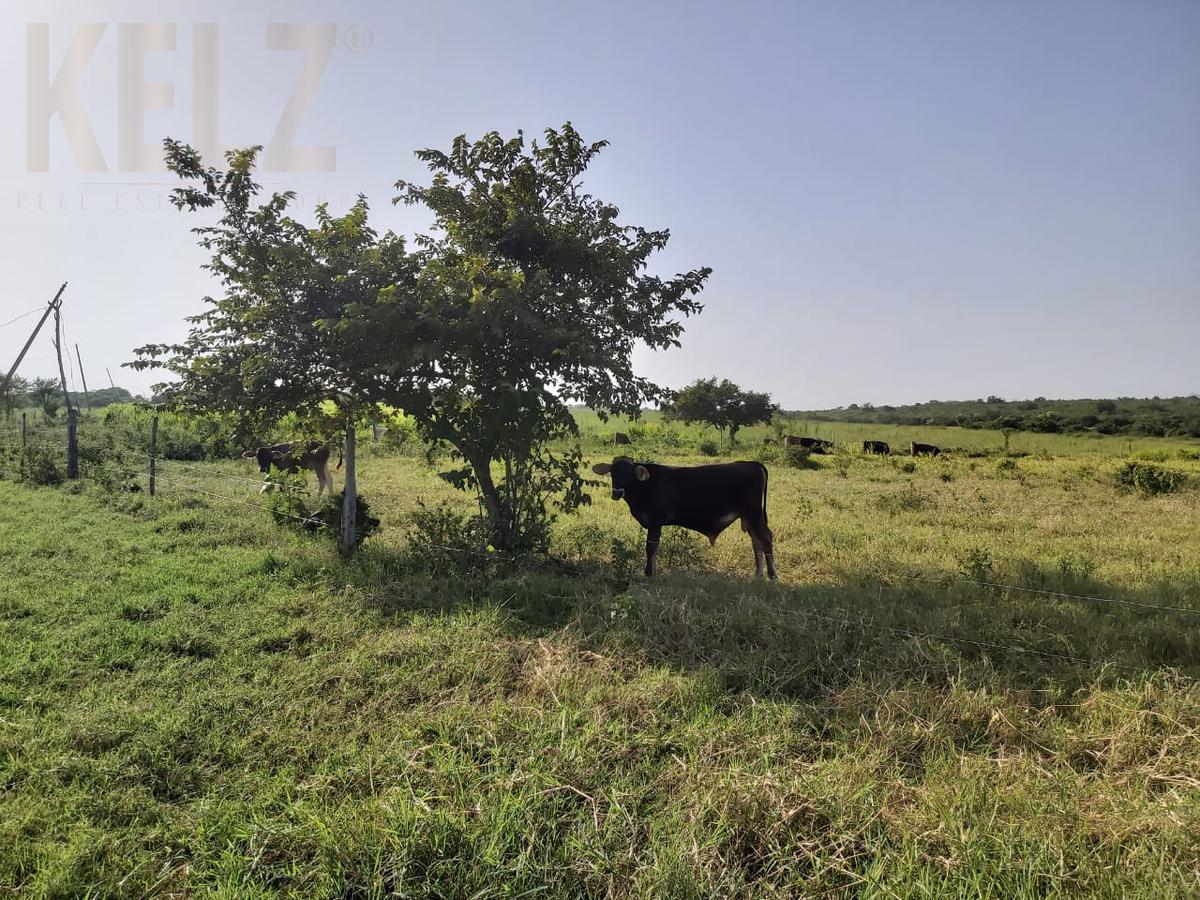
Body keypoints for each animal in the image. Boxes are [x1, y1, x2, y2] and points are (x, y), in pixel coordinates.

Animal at [592, 458, 777, 578]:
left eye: (629, 474)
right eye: (613, 473)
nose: (617, 492)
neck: (645, 485)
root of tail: (753, 464)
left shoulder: (655, 522)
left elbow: (651, 547)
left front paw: (649, 573)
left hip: (754, 514)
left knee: (766, 538)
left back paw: (772, 574)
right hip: (750, 518)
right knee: (756, 541)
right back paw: (758, 574)